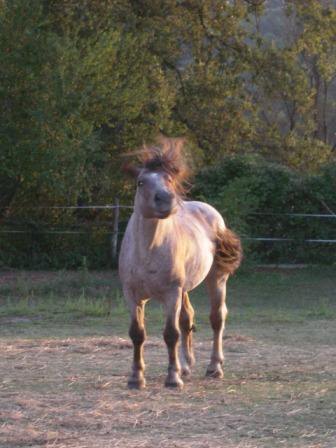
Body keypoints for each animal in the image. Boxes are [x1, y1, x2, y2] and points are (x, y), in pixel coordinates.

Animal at [118, 136, 242, 388]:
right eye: (140, 182)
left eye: (169, 179)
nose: (166, 199)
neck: (148, 252)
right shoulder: (132, 294)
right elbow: (137, 333)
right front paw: (136, 377)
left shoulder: (171, 293)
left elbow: (170, 334)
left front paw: (172, 378)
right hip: (185, 289)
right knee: (188, 319)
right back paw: (186, 366)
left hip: (216, 279)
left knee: (217, 318)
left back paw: (214, 367)